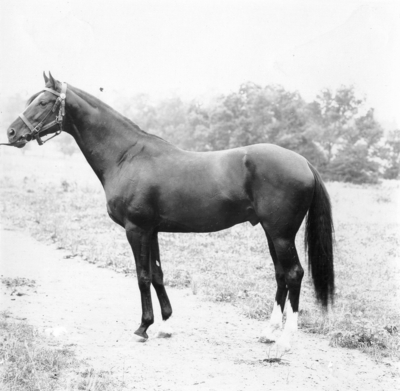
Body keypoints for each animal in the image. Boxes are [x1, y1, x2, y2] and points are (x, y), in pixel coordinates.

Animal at [5, 72, 334, 352]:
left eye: (43, 102)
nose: (11, 132)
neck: (126, 156)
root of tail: (304, 162)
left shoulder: (136, 229)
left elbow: (142, 276)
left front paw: (143, 327)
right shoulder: (151, 230)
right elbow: (158, 274)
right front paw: (164, 325)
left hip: (281, 234)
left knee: (293, 274)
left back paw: (285, 341)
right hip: (271, 233)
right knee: (281, 275)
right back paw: (268, 333)